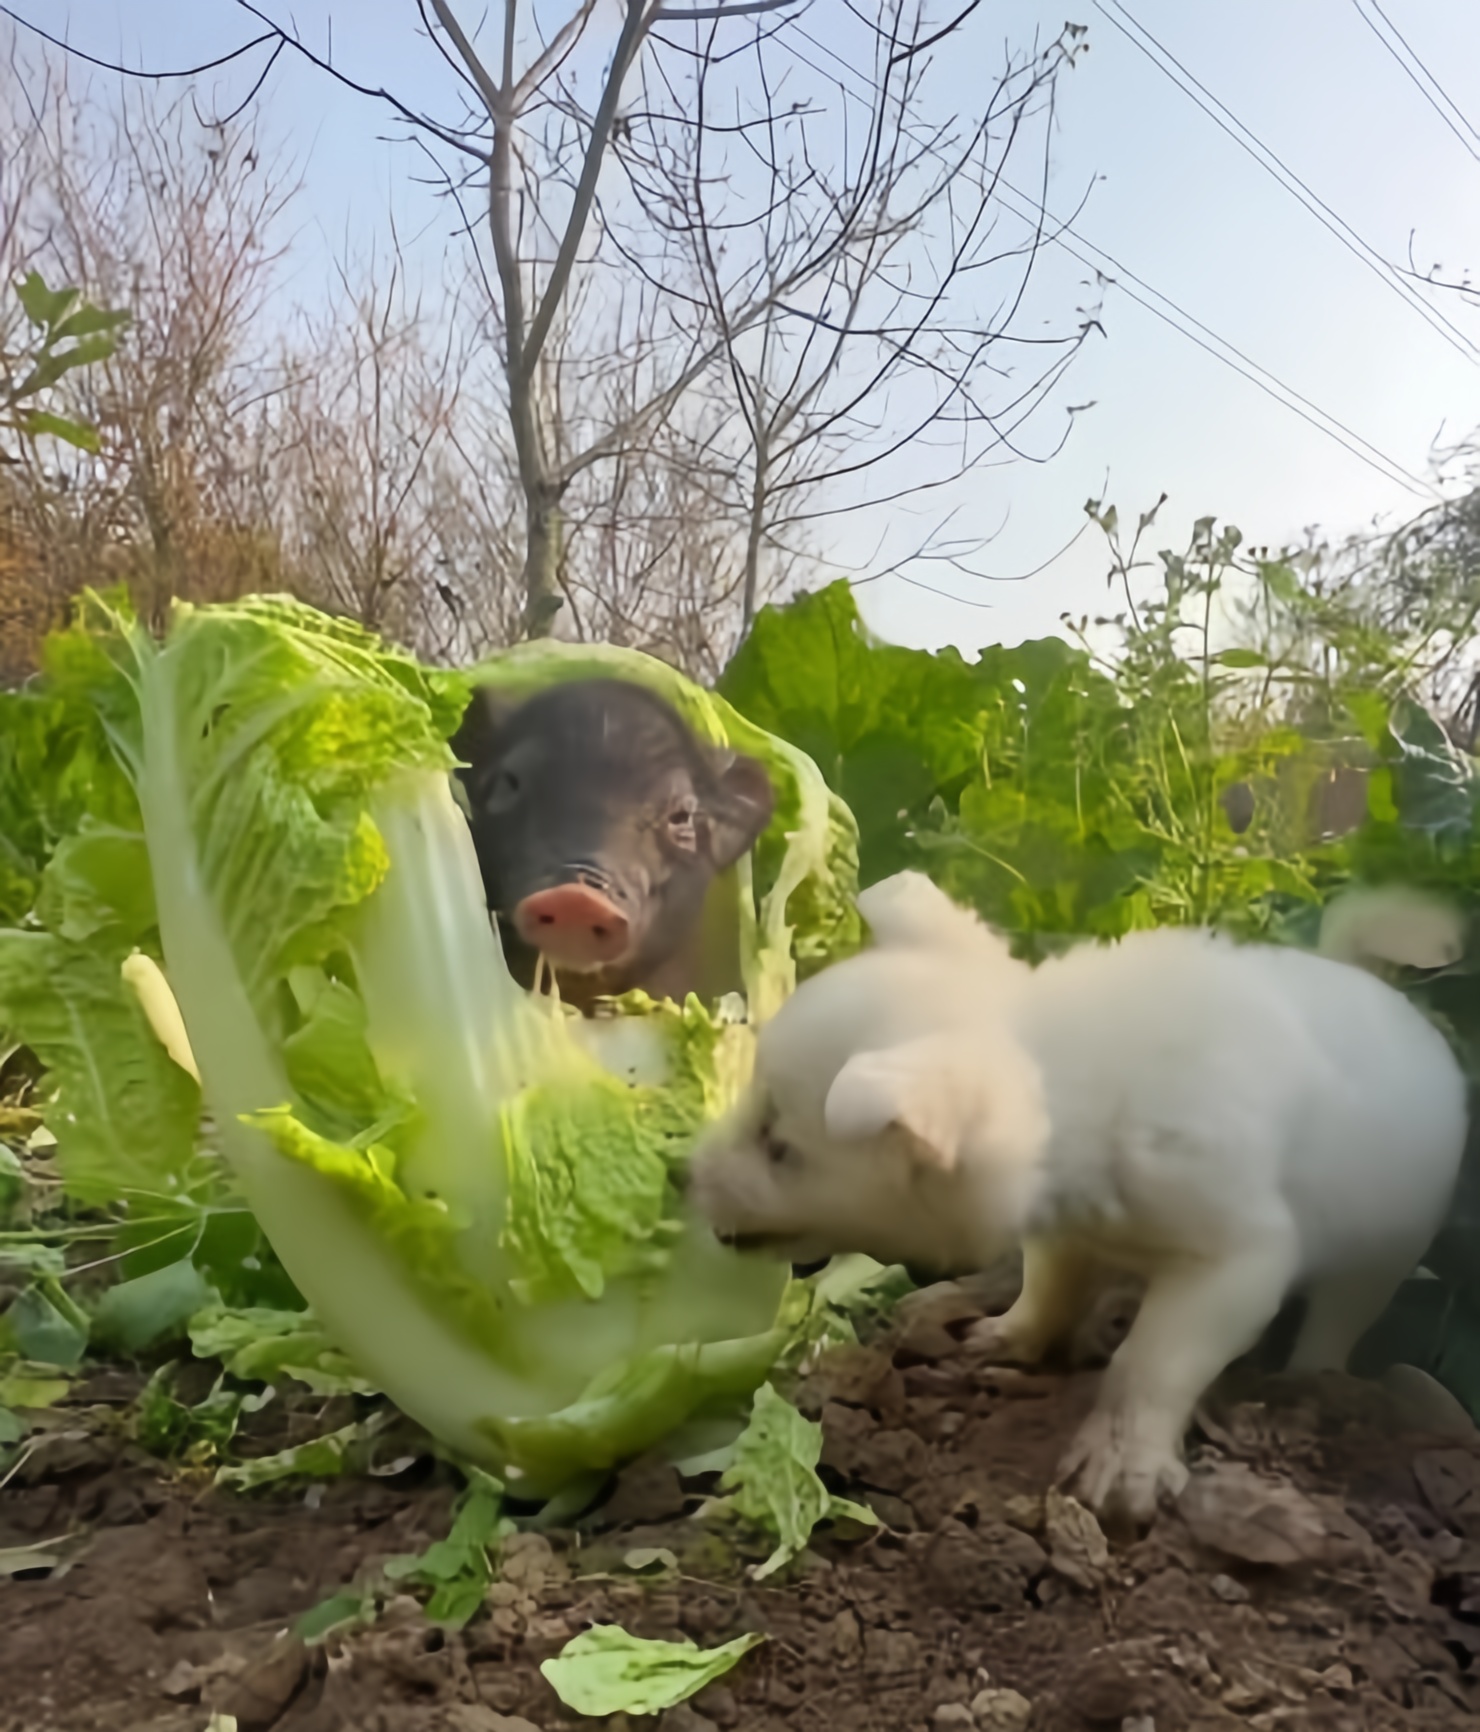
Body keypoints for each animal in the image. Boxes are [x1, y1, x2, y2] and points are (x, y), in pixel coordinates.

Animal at [695, 872, 1467, 1524]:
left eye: (780, 1147)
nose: (683, 1177)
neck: (1076, 1091)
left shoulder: (1237, 1262)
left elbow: (1150, 1361)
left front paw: (1121, 1471)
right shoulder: (1064, 1231)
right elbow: (1049, 1287)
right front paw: (1009, 1339)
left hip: (1383, 1253)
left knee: (1336, 1323)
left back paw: (1313, 1384)